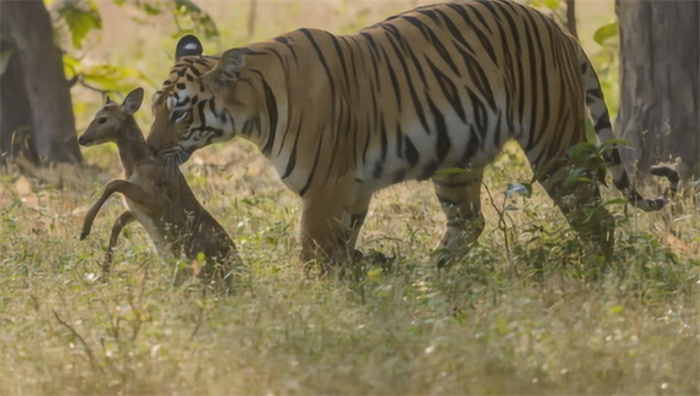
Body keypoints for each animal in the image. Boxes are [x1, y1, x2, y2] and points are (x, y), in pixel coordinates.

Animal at [148, 0, 680, 266]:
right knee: (470, 223)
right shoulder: (351, 188)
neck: (253, 109)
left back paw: (600, 274)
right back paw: (432, 276)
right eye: (153, 109)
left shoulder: (326, 189)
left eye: (180, 113)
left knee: (595, 218)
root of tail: (556, 27)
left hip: (555, 146)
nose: (150, 151)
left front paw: (317, 309)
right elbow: (340, 250)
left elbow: (313, 254)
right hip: (457, 158)